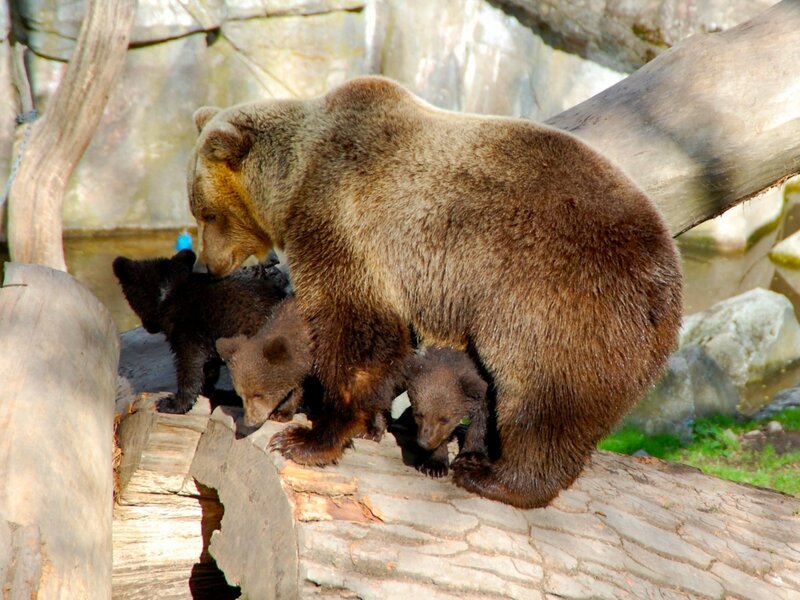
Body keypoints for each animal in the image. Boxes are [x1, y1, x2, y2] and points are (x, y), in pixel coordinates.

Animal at [112, 249, 288, 414]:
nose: (149, 327)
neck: (167, 295)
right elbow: (208, 367)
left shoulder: (188, 331)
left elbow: (190, 367)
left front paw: (173, 404)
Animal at [396, 347, 489, 478]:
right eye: (419, 414)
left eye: (445, 419)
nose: (424, 443)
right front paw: (434, 465)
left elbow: (480, 421)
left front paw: (469, 457)